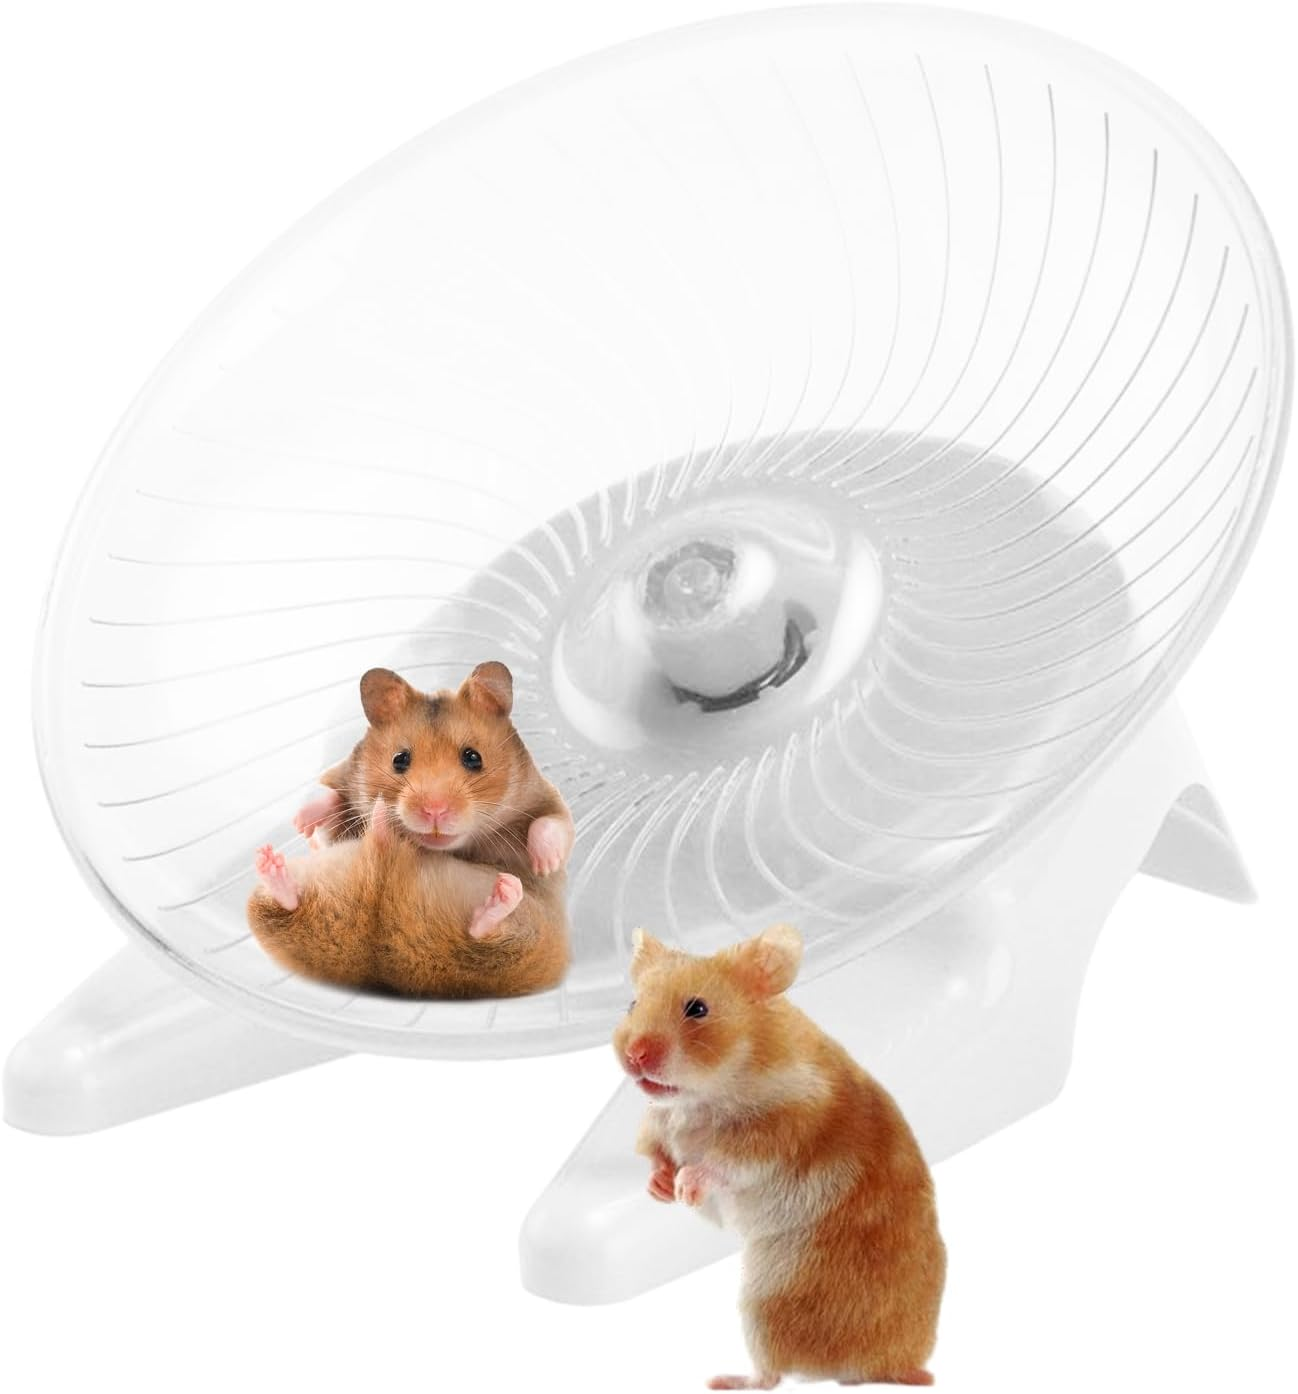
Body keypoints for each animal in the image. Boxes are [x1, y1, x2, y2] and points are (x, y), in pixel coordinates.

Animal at [245, 662, 573, 996]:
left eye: (473, 757)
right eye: (399, 759)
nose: (434, 810)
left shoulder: (546, 798)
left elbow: (550, 824)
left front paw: (545, 863)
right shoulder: (342, 790)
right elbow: (329, 801)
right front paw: (302, 822)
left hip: (524, 942)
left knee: (485, 936)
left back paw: (504, 891)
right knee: (288, 904)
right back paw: (274, 862)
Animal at [614, 926, 946, 1389]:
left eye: (697, 1008)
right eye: (632, 1004)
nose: (635, 1056)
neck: (705, 1092)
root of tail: (887, 1367)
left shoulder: (776, 1133)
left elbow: (722, 1163)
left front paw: (685, 1187)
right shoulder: (659, 1123)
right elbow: (657, 1154)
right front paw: (661, 1186)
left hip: (765, 1301)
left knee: (771, 1376)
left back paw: (724, 1380)